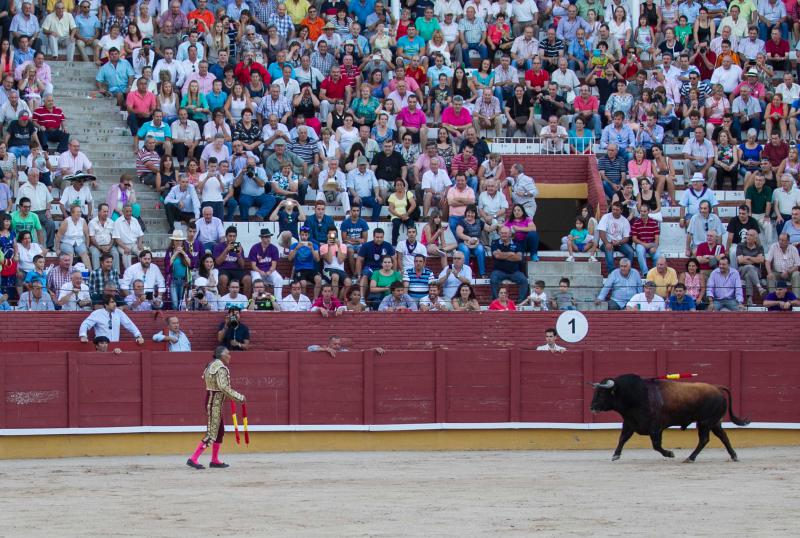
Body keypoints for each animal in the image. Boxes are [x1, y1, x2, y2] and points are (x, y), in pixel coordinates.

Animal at [590, 374, 750, 463]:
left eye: (602, 393)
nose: (592, 407)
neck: (638, 395)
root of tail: (717, 388)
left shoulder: (656, 428)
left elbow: (656, 445)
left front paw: (670, 454)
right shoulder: (630, 423)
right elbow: (622, 438)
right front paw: (615, 455)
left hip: (705, 422)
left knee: (704, 439)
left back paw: (690, 458)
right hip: (714, 422)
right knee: (723, 437)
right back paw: (734, 456)